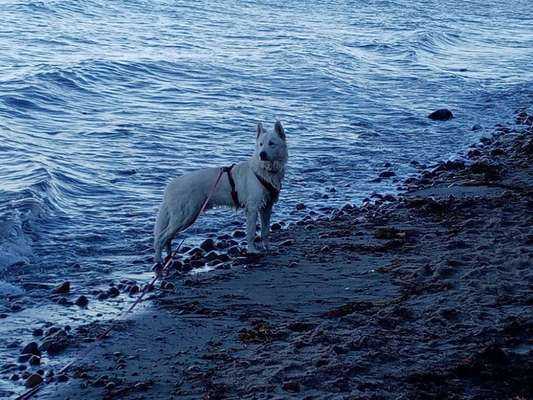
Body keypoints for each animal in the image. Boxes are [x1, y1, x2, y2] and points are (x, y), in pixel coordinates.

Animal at [153, 120, 286, 264]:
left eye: (271, 143)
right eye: (261, 144)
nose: (262, 154)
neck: (264, 171)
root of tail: (170, 185)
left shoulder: (267, 207)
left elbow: (265, 231)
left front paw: (268, 248)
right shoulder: (252, 208)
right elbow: (251, 233)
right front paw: (252, 250)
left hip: (185, 218)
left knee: (167, 238)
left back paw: (169, 257)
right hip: (185, 217)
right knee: (161, 238)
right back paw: (159, 260)